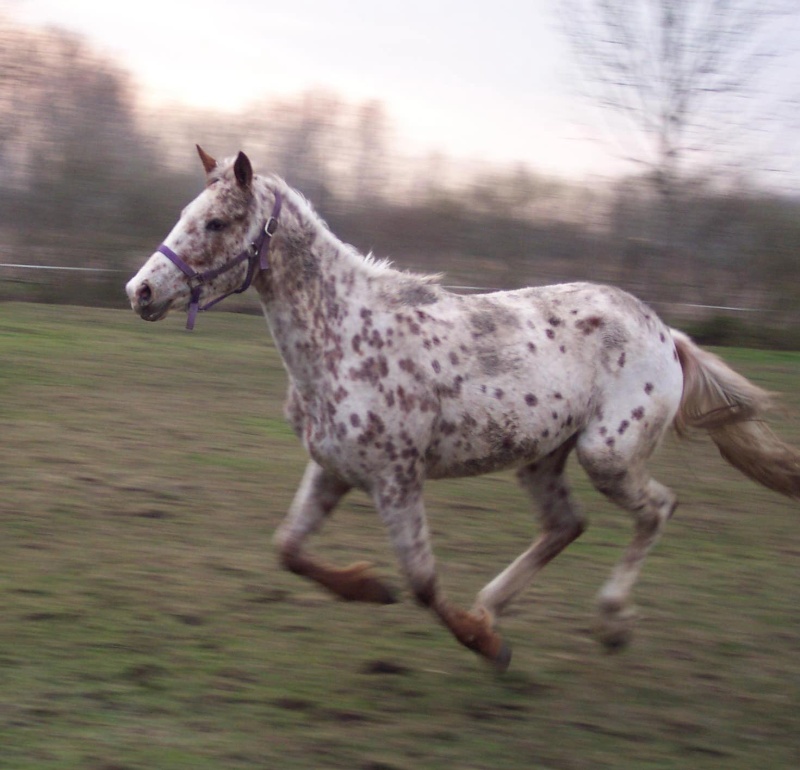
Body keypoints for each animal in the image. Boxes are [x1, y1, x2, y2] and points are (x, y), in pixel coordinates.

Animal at [125, 147, 800, 668]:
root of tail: (666, 334)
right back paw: (494, 604)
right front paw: (369, 586)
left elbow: (422, 583)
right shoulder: (333, 468)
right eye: (187, 215)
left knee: (658, 509)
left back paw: (608, 621)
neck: (343, 337)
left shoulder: (396, 478)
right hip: (542, 457)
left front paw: (483, 644)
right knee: (567, 524)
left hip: (606, 453)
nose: (141, 291)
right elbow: (288, 548)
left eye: (216, 223)